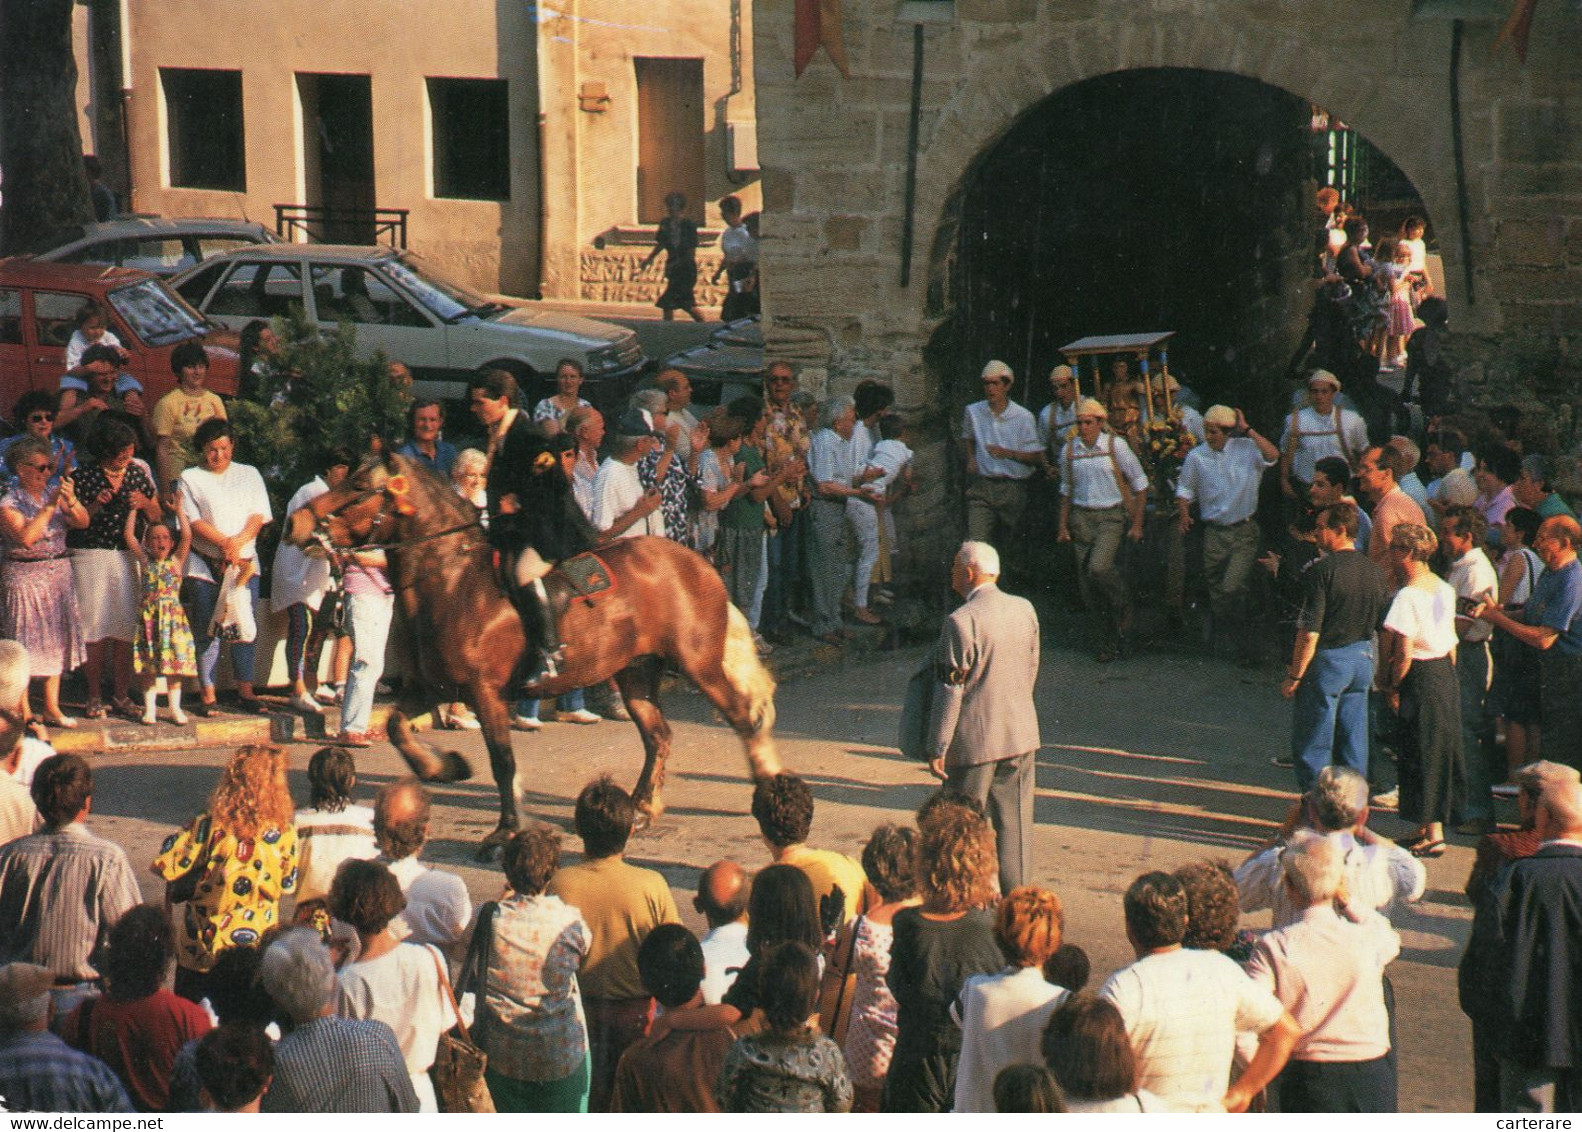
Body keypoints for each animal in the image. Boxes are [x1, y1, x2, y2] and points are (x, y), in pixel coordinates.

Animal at [287, 452, 781, 860]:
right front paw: (446, 767)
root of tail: (697, 563)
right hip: (635, 674)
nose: (295, 525)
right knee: (658, 736)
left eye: (358, 486)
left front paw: (503, 832)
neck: (453, 583)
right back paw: (642, 808)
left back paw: (768, 792)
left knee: (742, 718)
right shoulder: (433, 688)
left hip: (699, 665)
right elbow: (395, 727)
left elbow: (503, 763)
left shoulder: (484, 692)